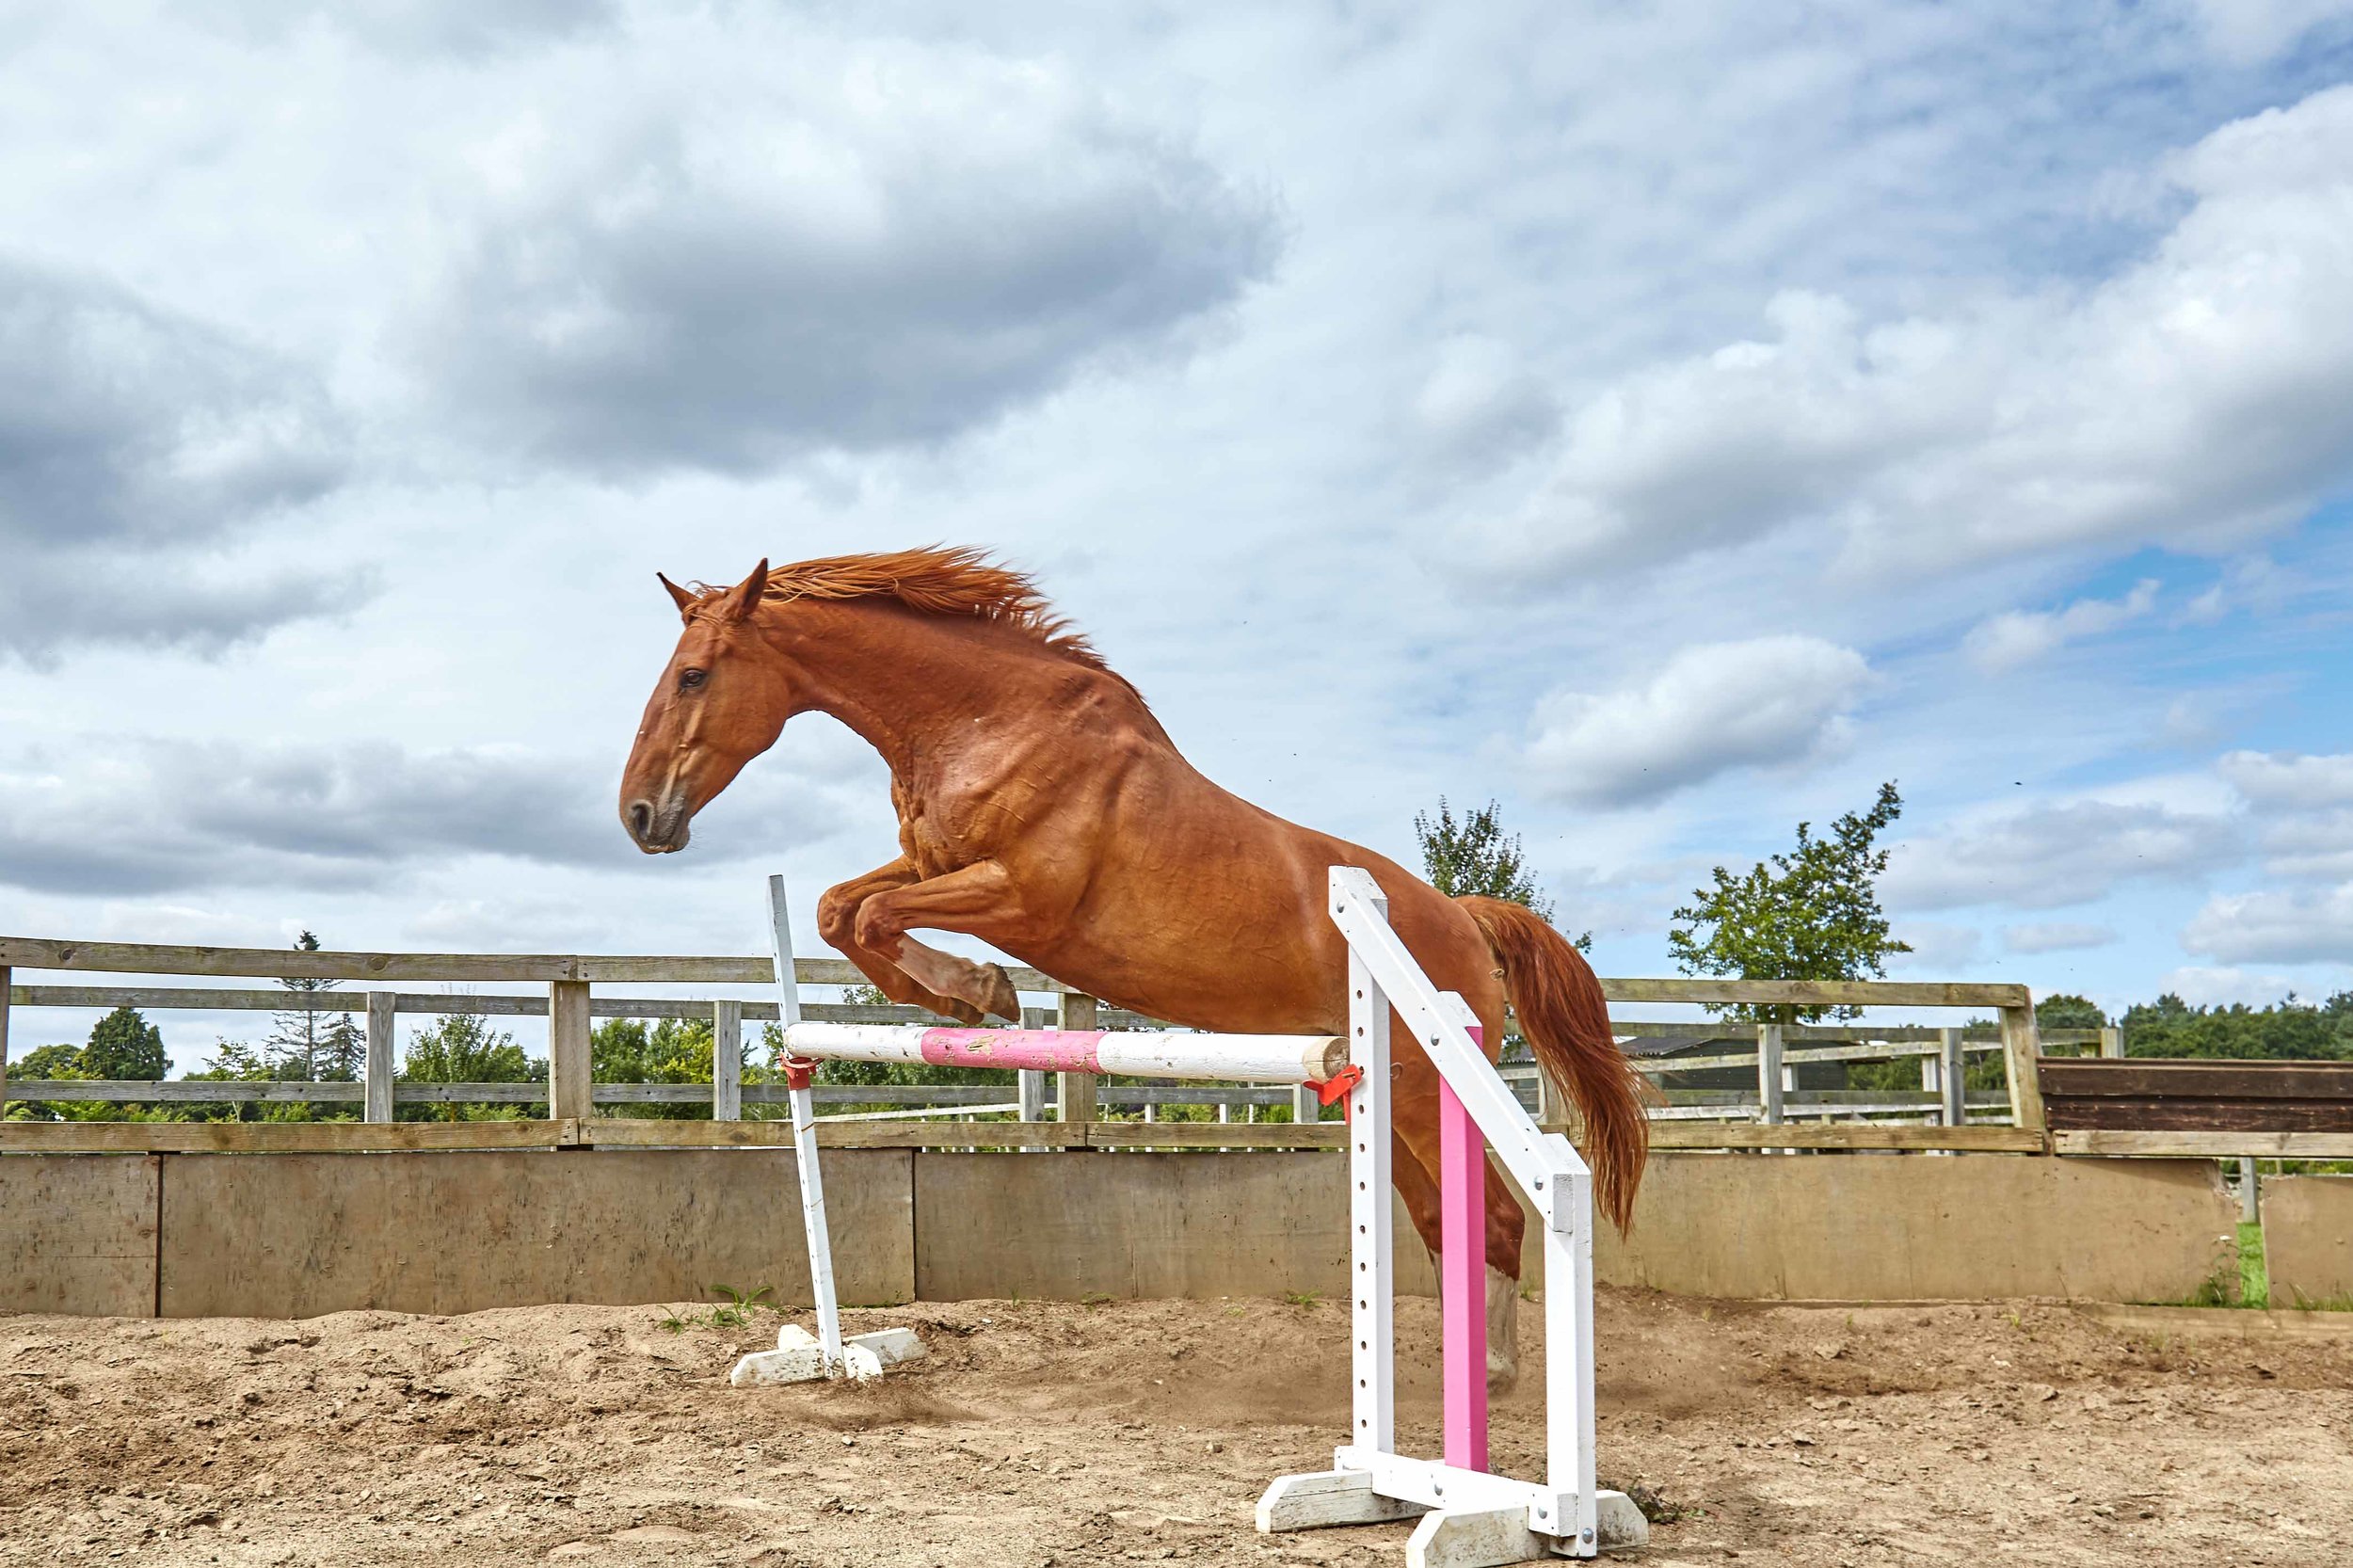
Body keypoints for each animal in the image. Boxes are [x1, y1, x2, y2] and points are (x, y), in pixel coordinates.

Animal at [626, 546, 1657, 1384]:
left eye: (693, 676)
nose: (639, 816)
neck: (985, 721)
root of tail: (1465, 917)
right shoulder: (933, 866)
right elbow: (840, 908)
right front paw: (954, 999)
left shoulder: (1022, 899)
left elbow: (873, 911)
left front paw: (979, 991)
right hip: (1385, 1099)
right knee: (1448, 1222)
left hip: (1418, 1083)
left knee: (1501, 1220)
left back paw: (1492, 1381)